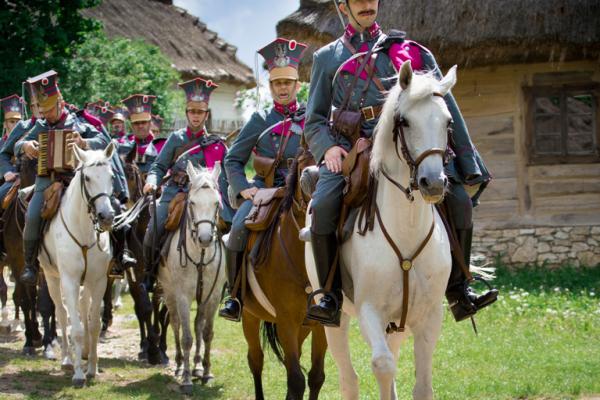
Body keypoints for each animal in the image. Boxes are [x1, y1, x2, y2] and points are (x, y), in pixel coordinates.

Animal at [39, 142, 116, 386]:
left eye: (111, 176)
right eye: (88, 178)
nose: (106, 217)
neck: (83, 230)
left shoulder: (99, 281)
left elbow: (93, 325)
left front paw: (92, 368)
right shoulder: (70, 281)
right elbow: (77, 329)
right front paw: (79, 374)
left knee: (82, 309)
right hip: (52, 278)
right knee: (62, 314)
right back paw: (67, 359)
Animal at [159, 162, 225, 394]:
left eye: (217, 203)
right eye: (193, 203)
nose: (205, 238)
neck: (200, 256)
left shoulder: (212, 296)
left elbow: (207, 333)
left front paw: (206, 372)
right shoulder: (182, 297)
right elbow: (186, 337)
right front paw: (187, 379)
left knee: (197, 325)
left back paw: (196, 366)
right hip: (169, 294)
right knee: (176, 324)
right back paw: (180, 365)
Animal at [239, 147, 328, 400]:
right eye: (303, 170)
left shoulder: (321, 326)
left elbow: (315, 376)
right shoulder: (286, 322)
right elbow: (296, 380)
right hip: (249, 315)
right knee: (255, 360)